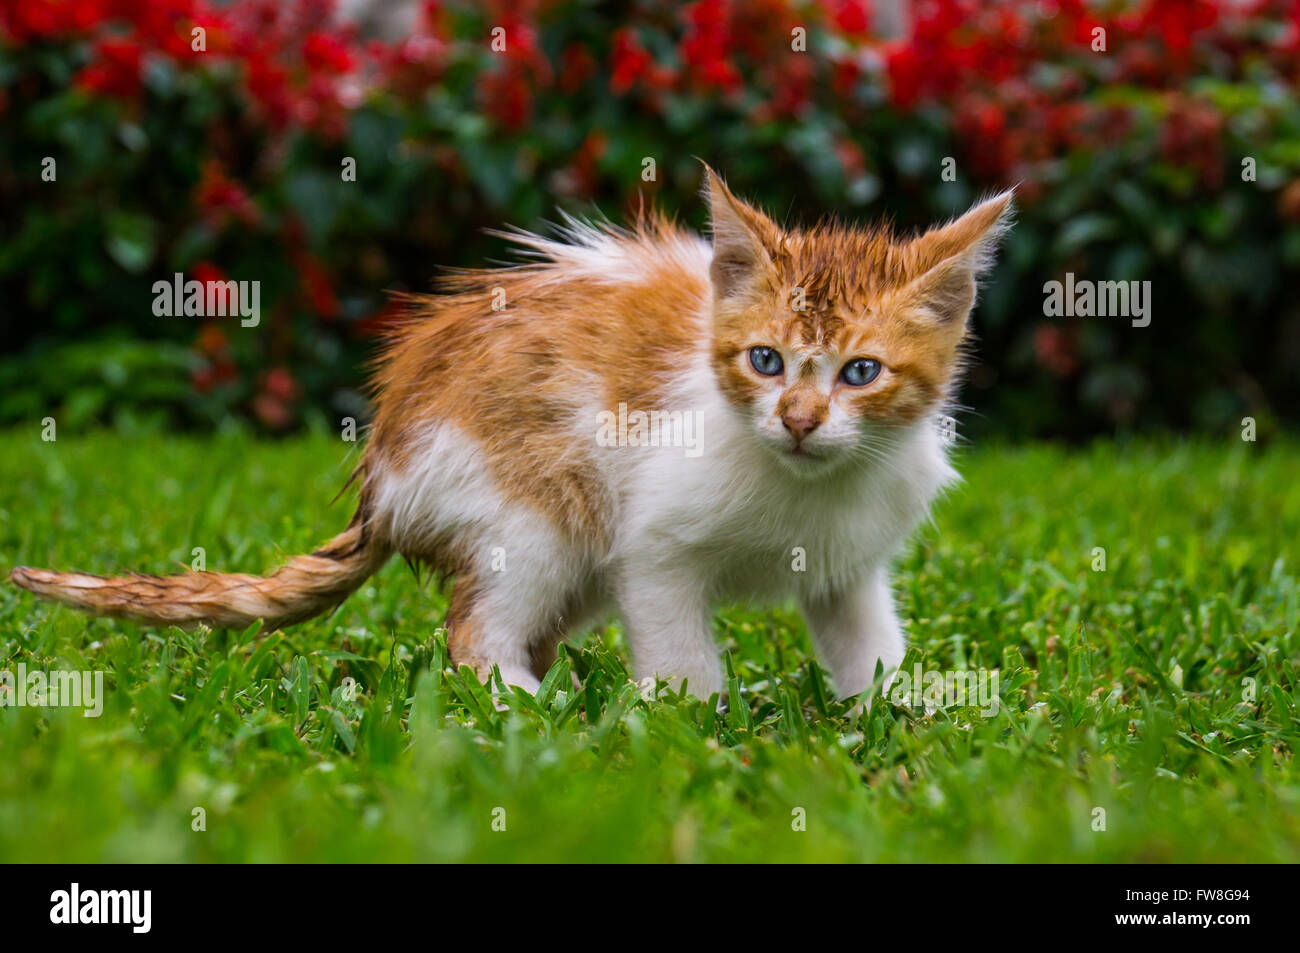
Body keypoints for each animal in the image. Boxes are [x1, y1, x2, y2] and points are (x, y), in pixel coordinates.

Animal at [10, 165, 1008, 696]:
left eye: (860, 373)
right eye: (765, 361)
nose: (799, 420)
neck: (806, 483)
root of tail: (382, 475)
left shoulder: (852, 562)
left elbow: (865, 636)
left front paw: (906, 709)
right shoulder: (656, 540)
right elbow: (678, 639)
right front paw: (692, 720)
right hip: (530, 504)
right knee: (479, 627)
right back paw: (523, 702)